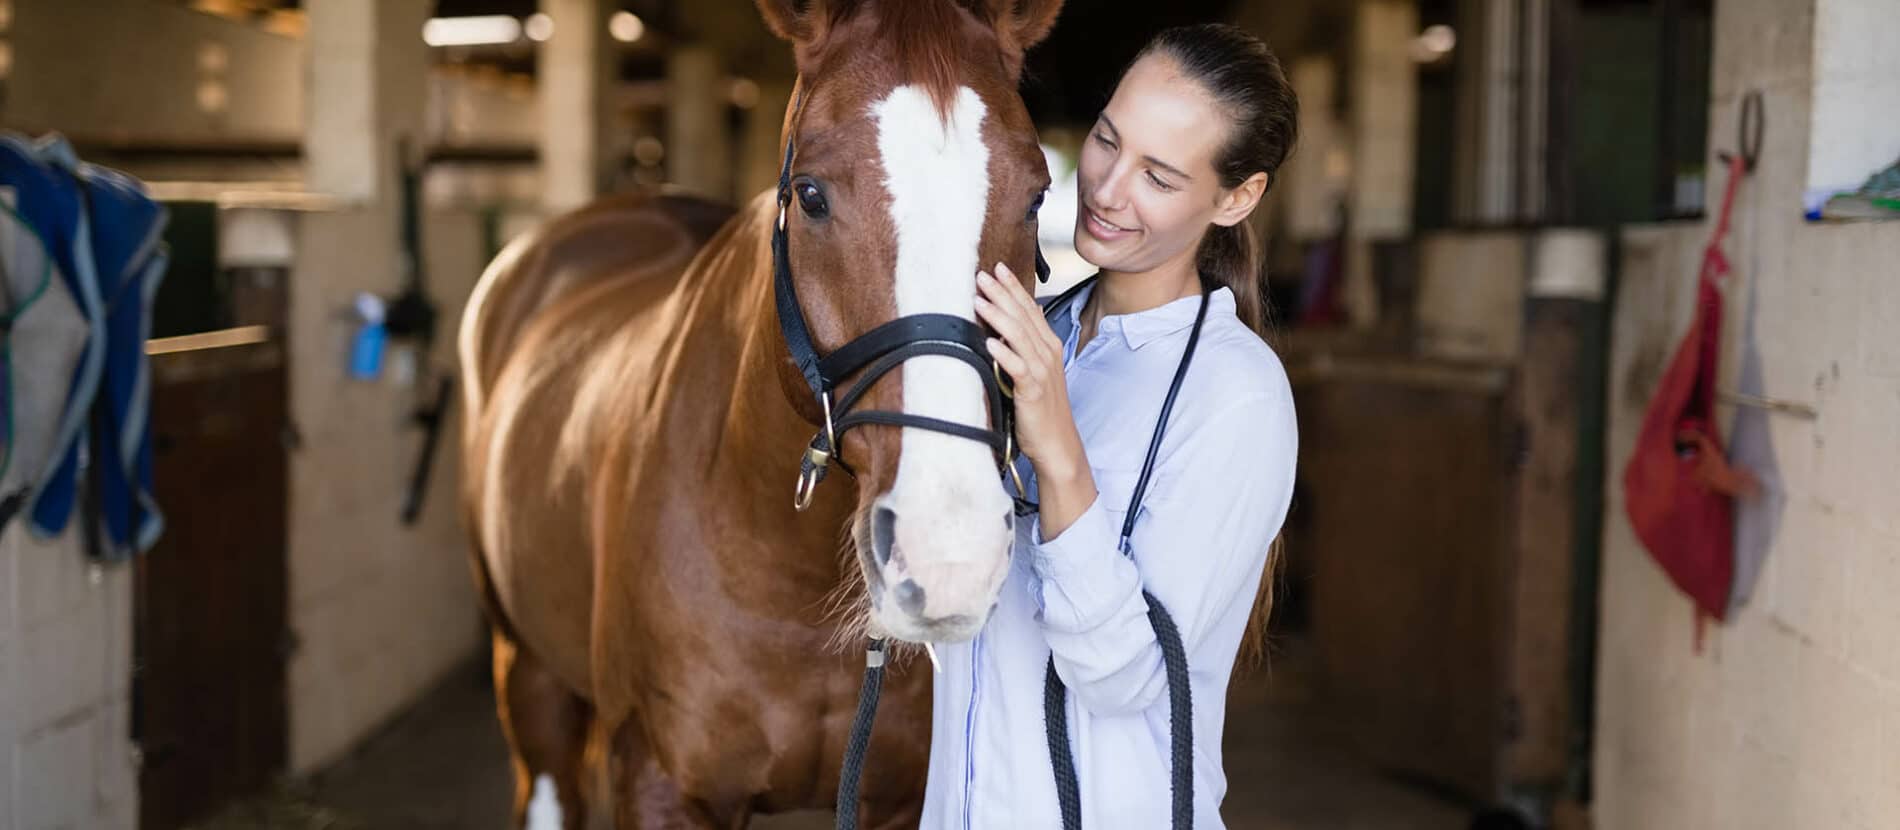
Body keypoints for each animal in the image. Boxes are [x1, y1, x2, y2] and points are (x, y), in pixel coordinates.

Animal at [452, 3, 1064, 824]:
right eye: (809, 194)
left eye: (1037, 197)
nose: (947, 556)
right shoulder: (662, 785)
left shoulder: (902, 798)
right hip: (527, 669)